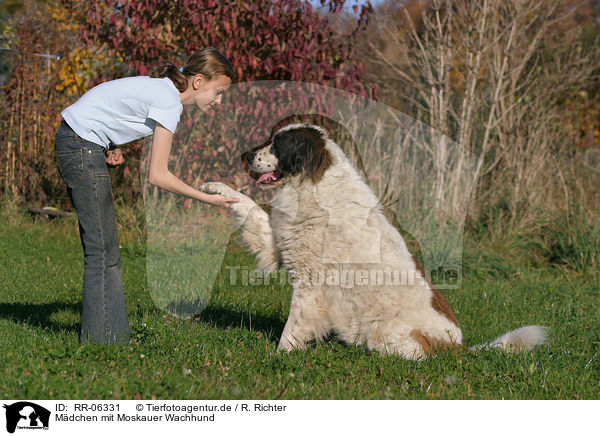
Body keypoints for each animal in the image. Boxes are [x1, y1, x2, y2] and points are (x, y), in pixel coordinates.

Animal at [199, 123, 548, 362]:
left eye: (277, 144)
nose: (244, 155)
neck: (313, 184)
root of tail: (459, 347)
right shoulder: (276, 245)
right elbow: (247, 206)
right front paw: (216, 188)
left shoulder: (310, 286)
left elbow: (292, 327)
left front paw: (279, 356)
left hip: (385, 331)